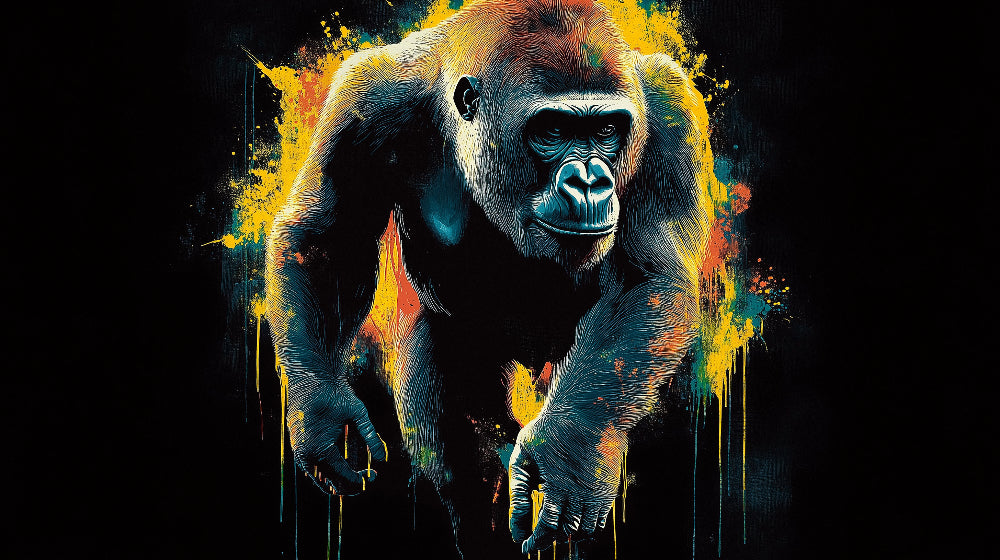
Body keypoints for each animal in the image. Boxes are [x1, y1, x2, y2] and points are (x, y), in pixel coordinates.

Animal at [265, 0, 713, 557]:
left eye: (607, 131)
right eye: (553, 131)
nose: (590, 181)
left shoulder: (671, 106)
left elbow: (646, 277)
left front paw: (567, 452)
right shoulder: (366, 99)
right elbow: (326, 240)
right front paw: (322, 412)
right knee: (467, 461)